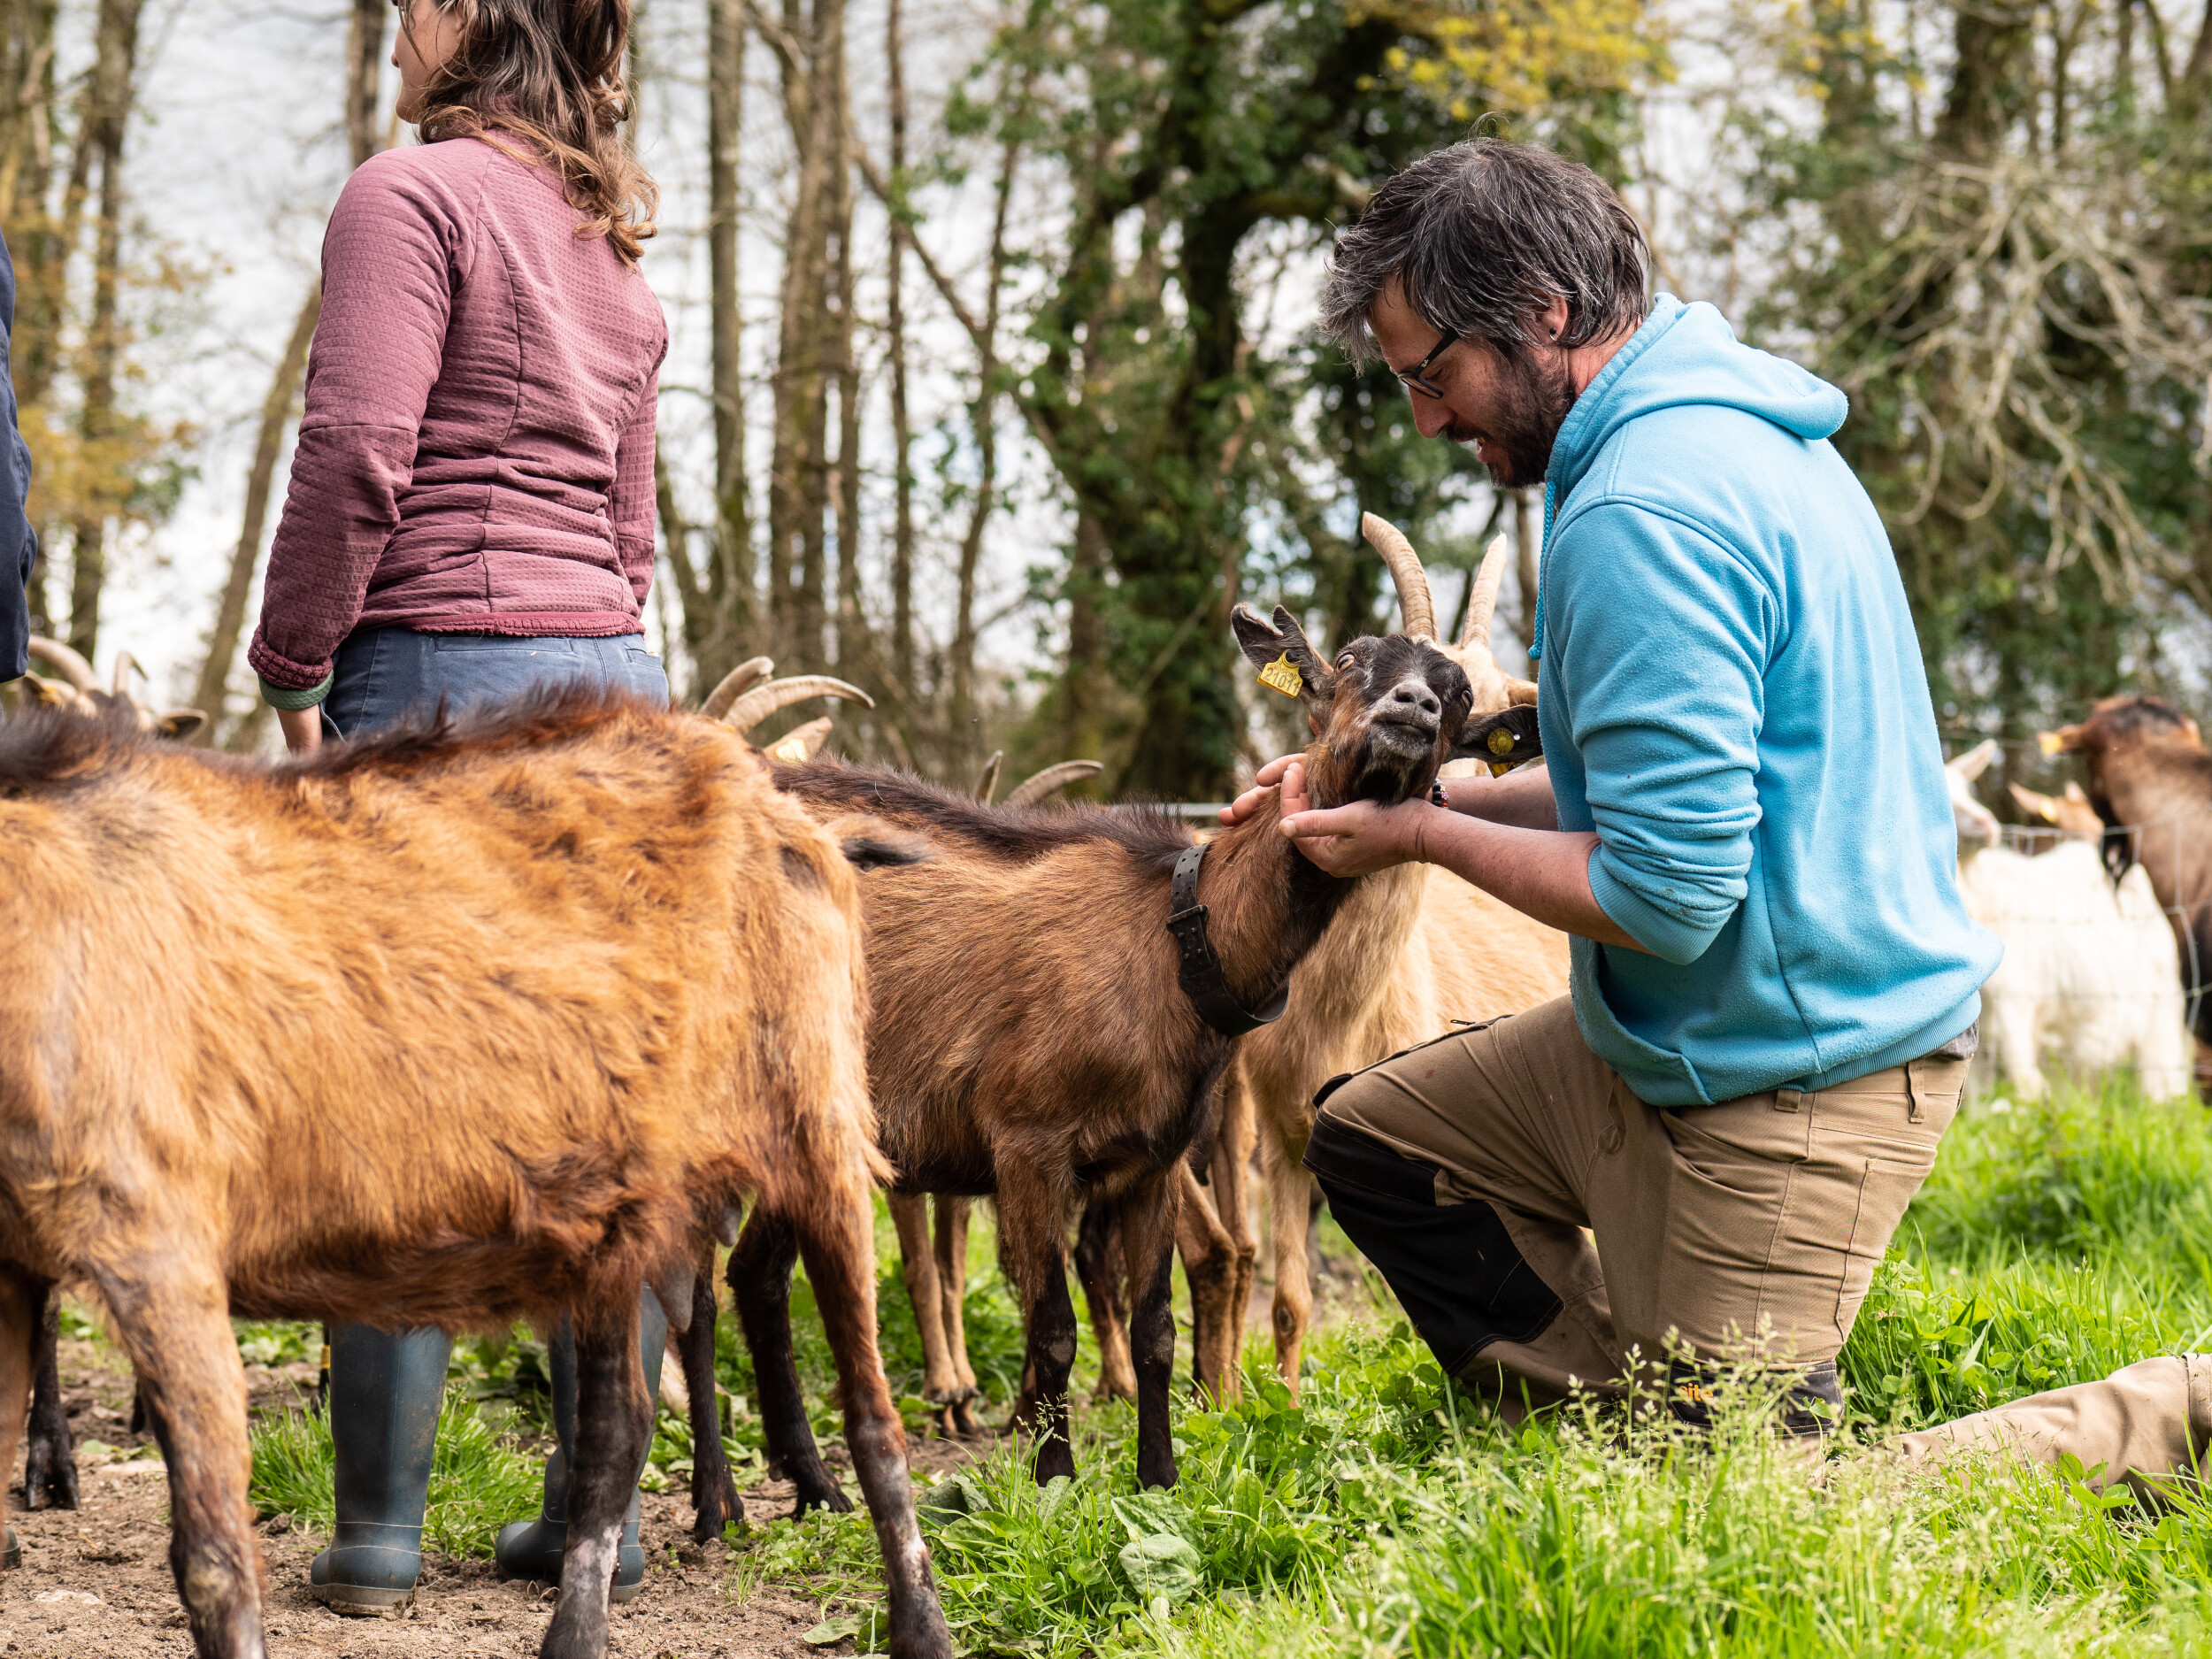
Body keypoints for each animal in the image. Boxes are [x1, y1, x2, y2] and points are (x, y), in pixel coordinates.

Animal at [0, 690, 942, 1659]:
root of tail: (785, 808)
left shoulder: (163, 1247)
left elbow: (214, 1562)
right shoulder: (13, 1265)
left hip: (820, 1133)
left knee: (872, 1413)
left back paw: (919, 1626)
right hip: (619, 1204)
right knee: (617, 1426)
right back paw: (574, 1632)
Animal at [668, 611, 1469, 1531]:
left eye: (1456, 694)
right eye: (1346, 659)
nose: (1410, 708)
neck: (1173, 936)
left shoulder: (1151, 1160)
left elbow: (1155, 1326)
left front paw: (1160, 1483)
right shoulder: (1027, 1143)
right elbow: (1050, 1323)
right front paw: (1053, 1482)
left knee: (753, 1275)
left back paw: (815, 1485)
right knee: (695, 1288)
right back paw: (718, 1501)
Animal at [1947, 739, 2185, 1106]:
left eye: (1965, 788)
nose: (1987, 824)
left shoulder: (2017, 999)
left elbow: (2024, 1082)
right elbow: (1972, 1094)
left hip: (2160, 997)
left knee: (2160, 1067)